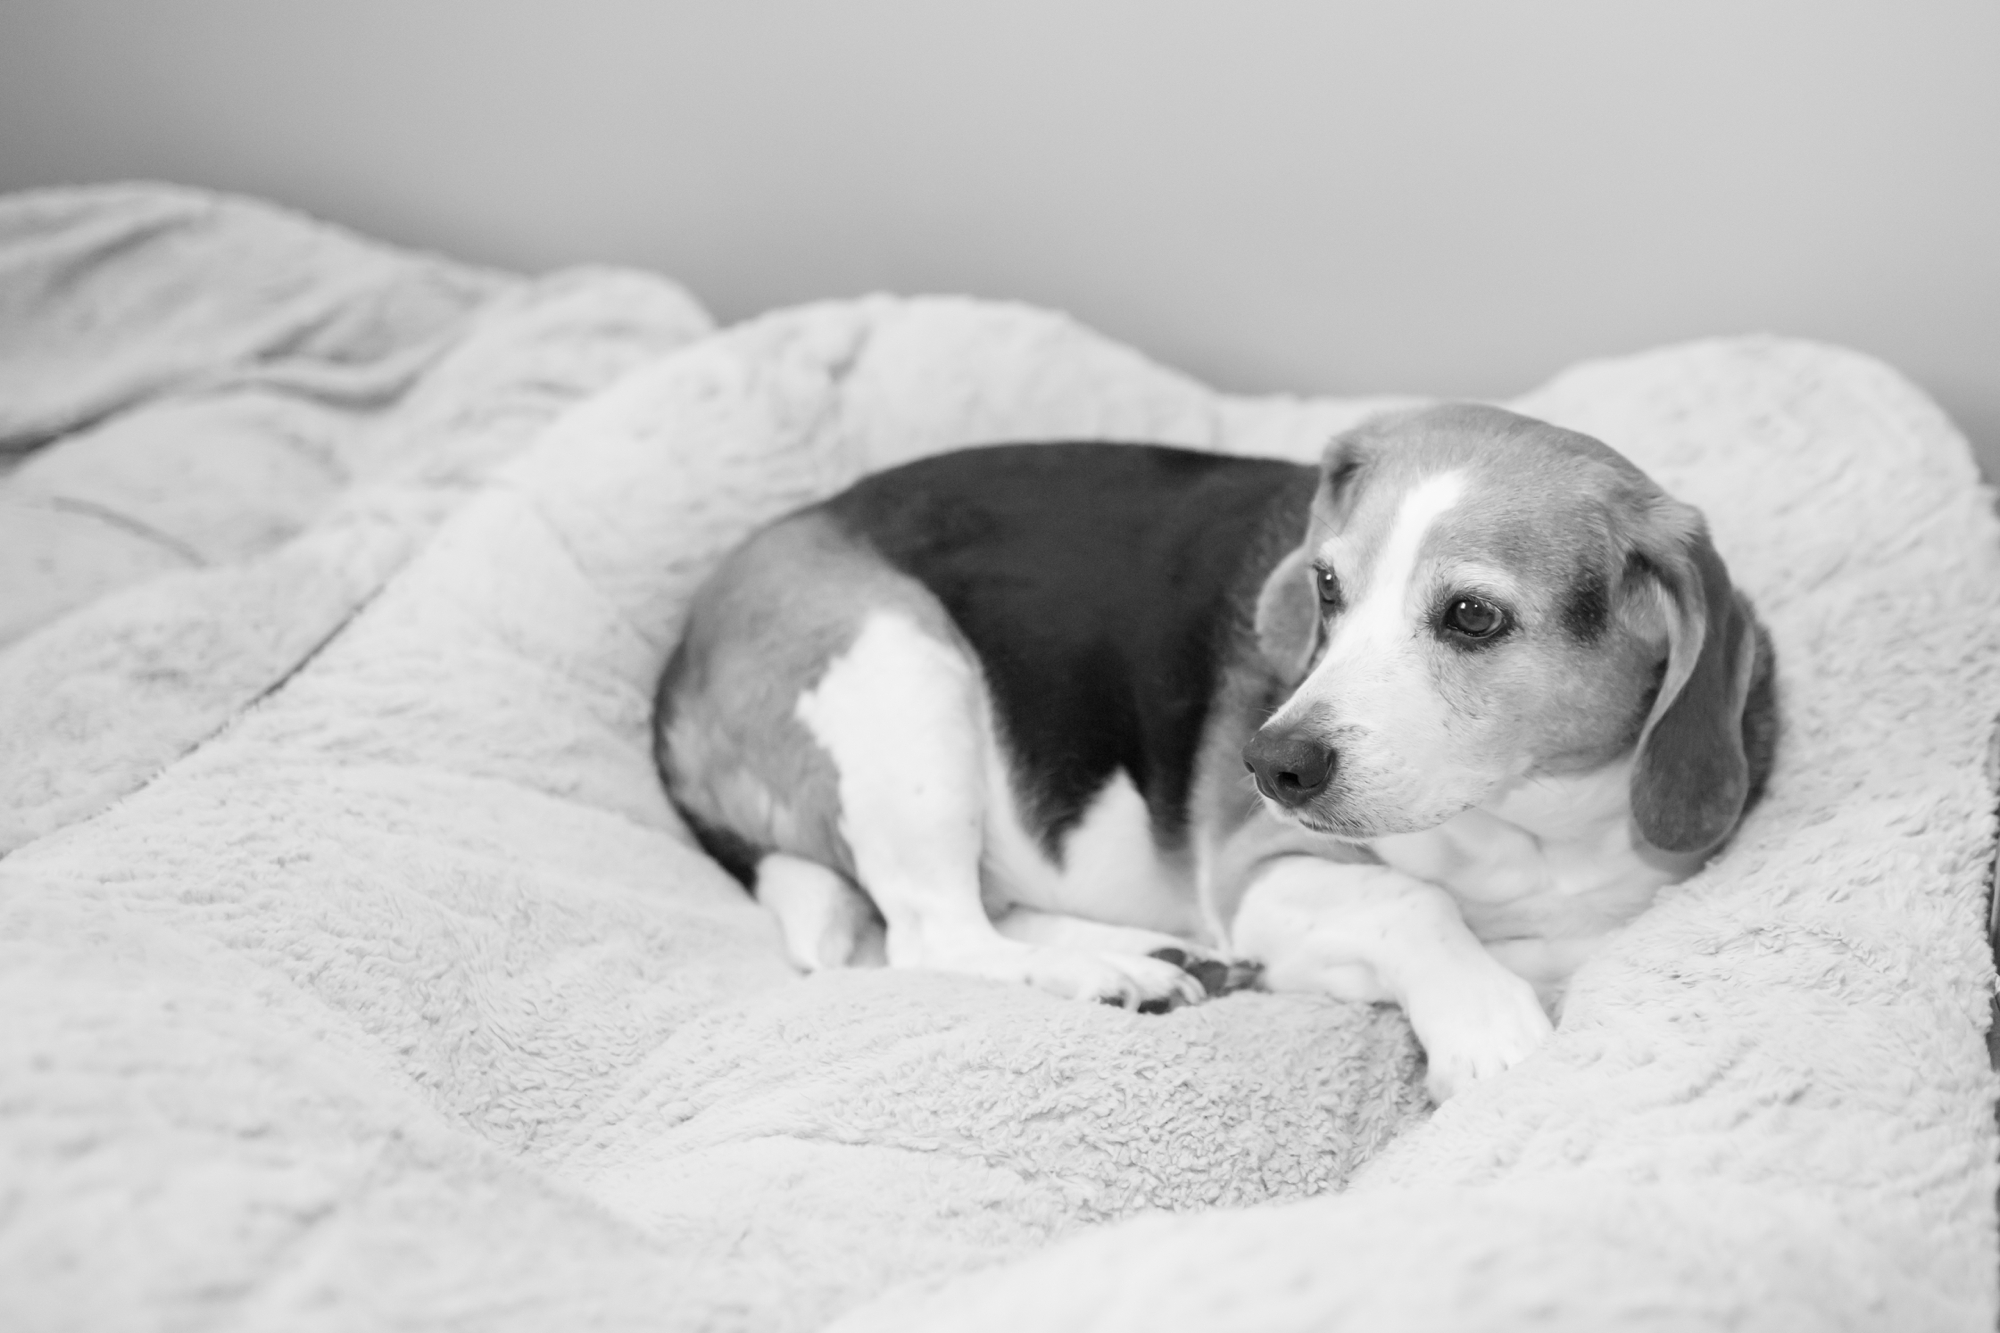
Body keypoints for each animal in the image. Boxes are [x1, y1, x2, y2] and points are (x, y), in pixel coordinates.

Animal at [656, 404, 1784, 1096]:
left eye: (1472, 616)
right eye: (1326, 587)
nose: (1270, 762)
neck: (1522, 827)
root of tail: (680, 654)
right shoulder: (1262, 873)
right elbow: (1410, 903)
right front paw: (1486, 1026)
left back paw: (1152, 955)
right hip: (898, 672)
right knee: (932, 934)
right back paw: (1108, 972)